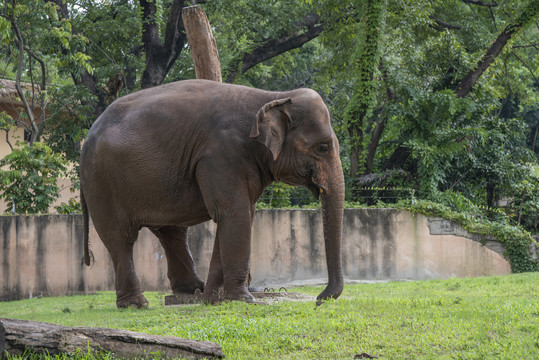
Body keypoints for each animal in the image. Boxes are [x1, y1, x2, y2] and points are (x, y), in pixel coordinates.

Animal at [79, 80, 346, 308]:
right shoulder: (221, 155)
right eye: (322, 148)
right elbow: (235, 213)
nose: (319, 300)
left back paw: (193, 291)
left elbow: (238, 215)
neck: (273, 96)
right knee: (120, 238)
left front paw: (215, 298)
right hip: (102, 183)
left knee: (172, 233)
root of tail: (87, 138)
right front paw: (243, 300)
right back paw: (136, 304)